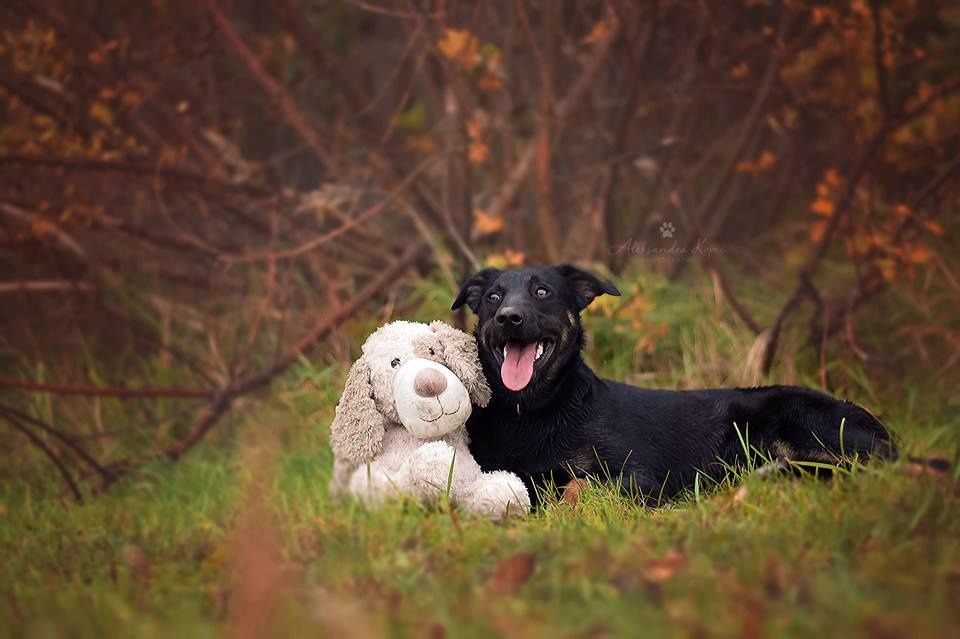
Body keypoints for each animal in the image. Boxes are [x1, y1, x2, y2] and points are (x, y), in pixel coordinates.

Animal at [454, 264, 896, 504]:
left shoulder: (641, 475)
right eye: (493, 297)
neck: (531, 411)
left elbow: (577, 486)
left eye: (542, 291)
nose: (509, 317)